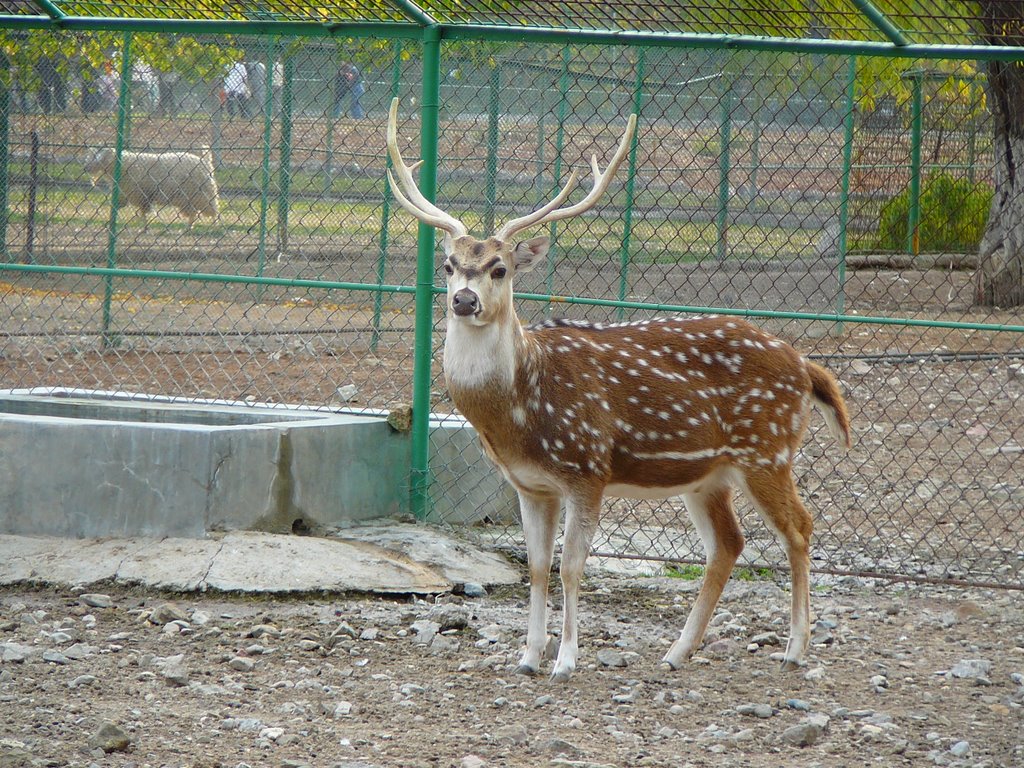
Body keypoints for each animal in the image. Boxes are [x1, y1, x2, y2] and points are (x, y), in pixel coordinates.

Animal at [86, 147, 220, 230]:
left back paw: (208, 226)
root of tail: (205, 161)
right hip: (188, 198)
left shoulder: (141, 195)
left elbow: (143, 212)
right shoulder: (126, 194)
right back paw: (190, 227)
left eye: (100, 157)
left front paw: (145, 228)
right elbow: (117, 207)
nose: (86, 168)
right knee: (194, 212)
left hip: (200, 194)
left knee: (211, 210)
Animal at [385, 99, 847, 684]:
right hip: (709, 474)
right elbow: (537, 566)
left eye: (500, 267)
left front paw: (565, 660)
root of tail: (805, 365)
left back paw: (795, 647)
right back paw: (677, 651)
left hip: (768, 449)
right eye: (449, 265)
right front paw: (527, 656)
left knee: (800, 528)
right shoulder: (531, 485)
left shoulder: (588, 467)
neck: (520, 411)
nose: (464, 300)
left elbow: (572, 566)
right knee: (729, 544)